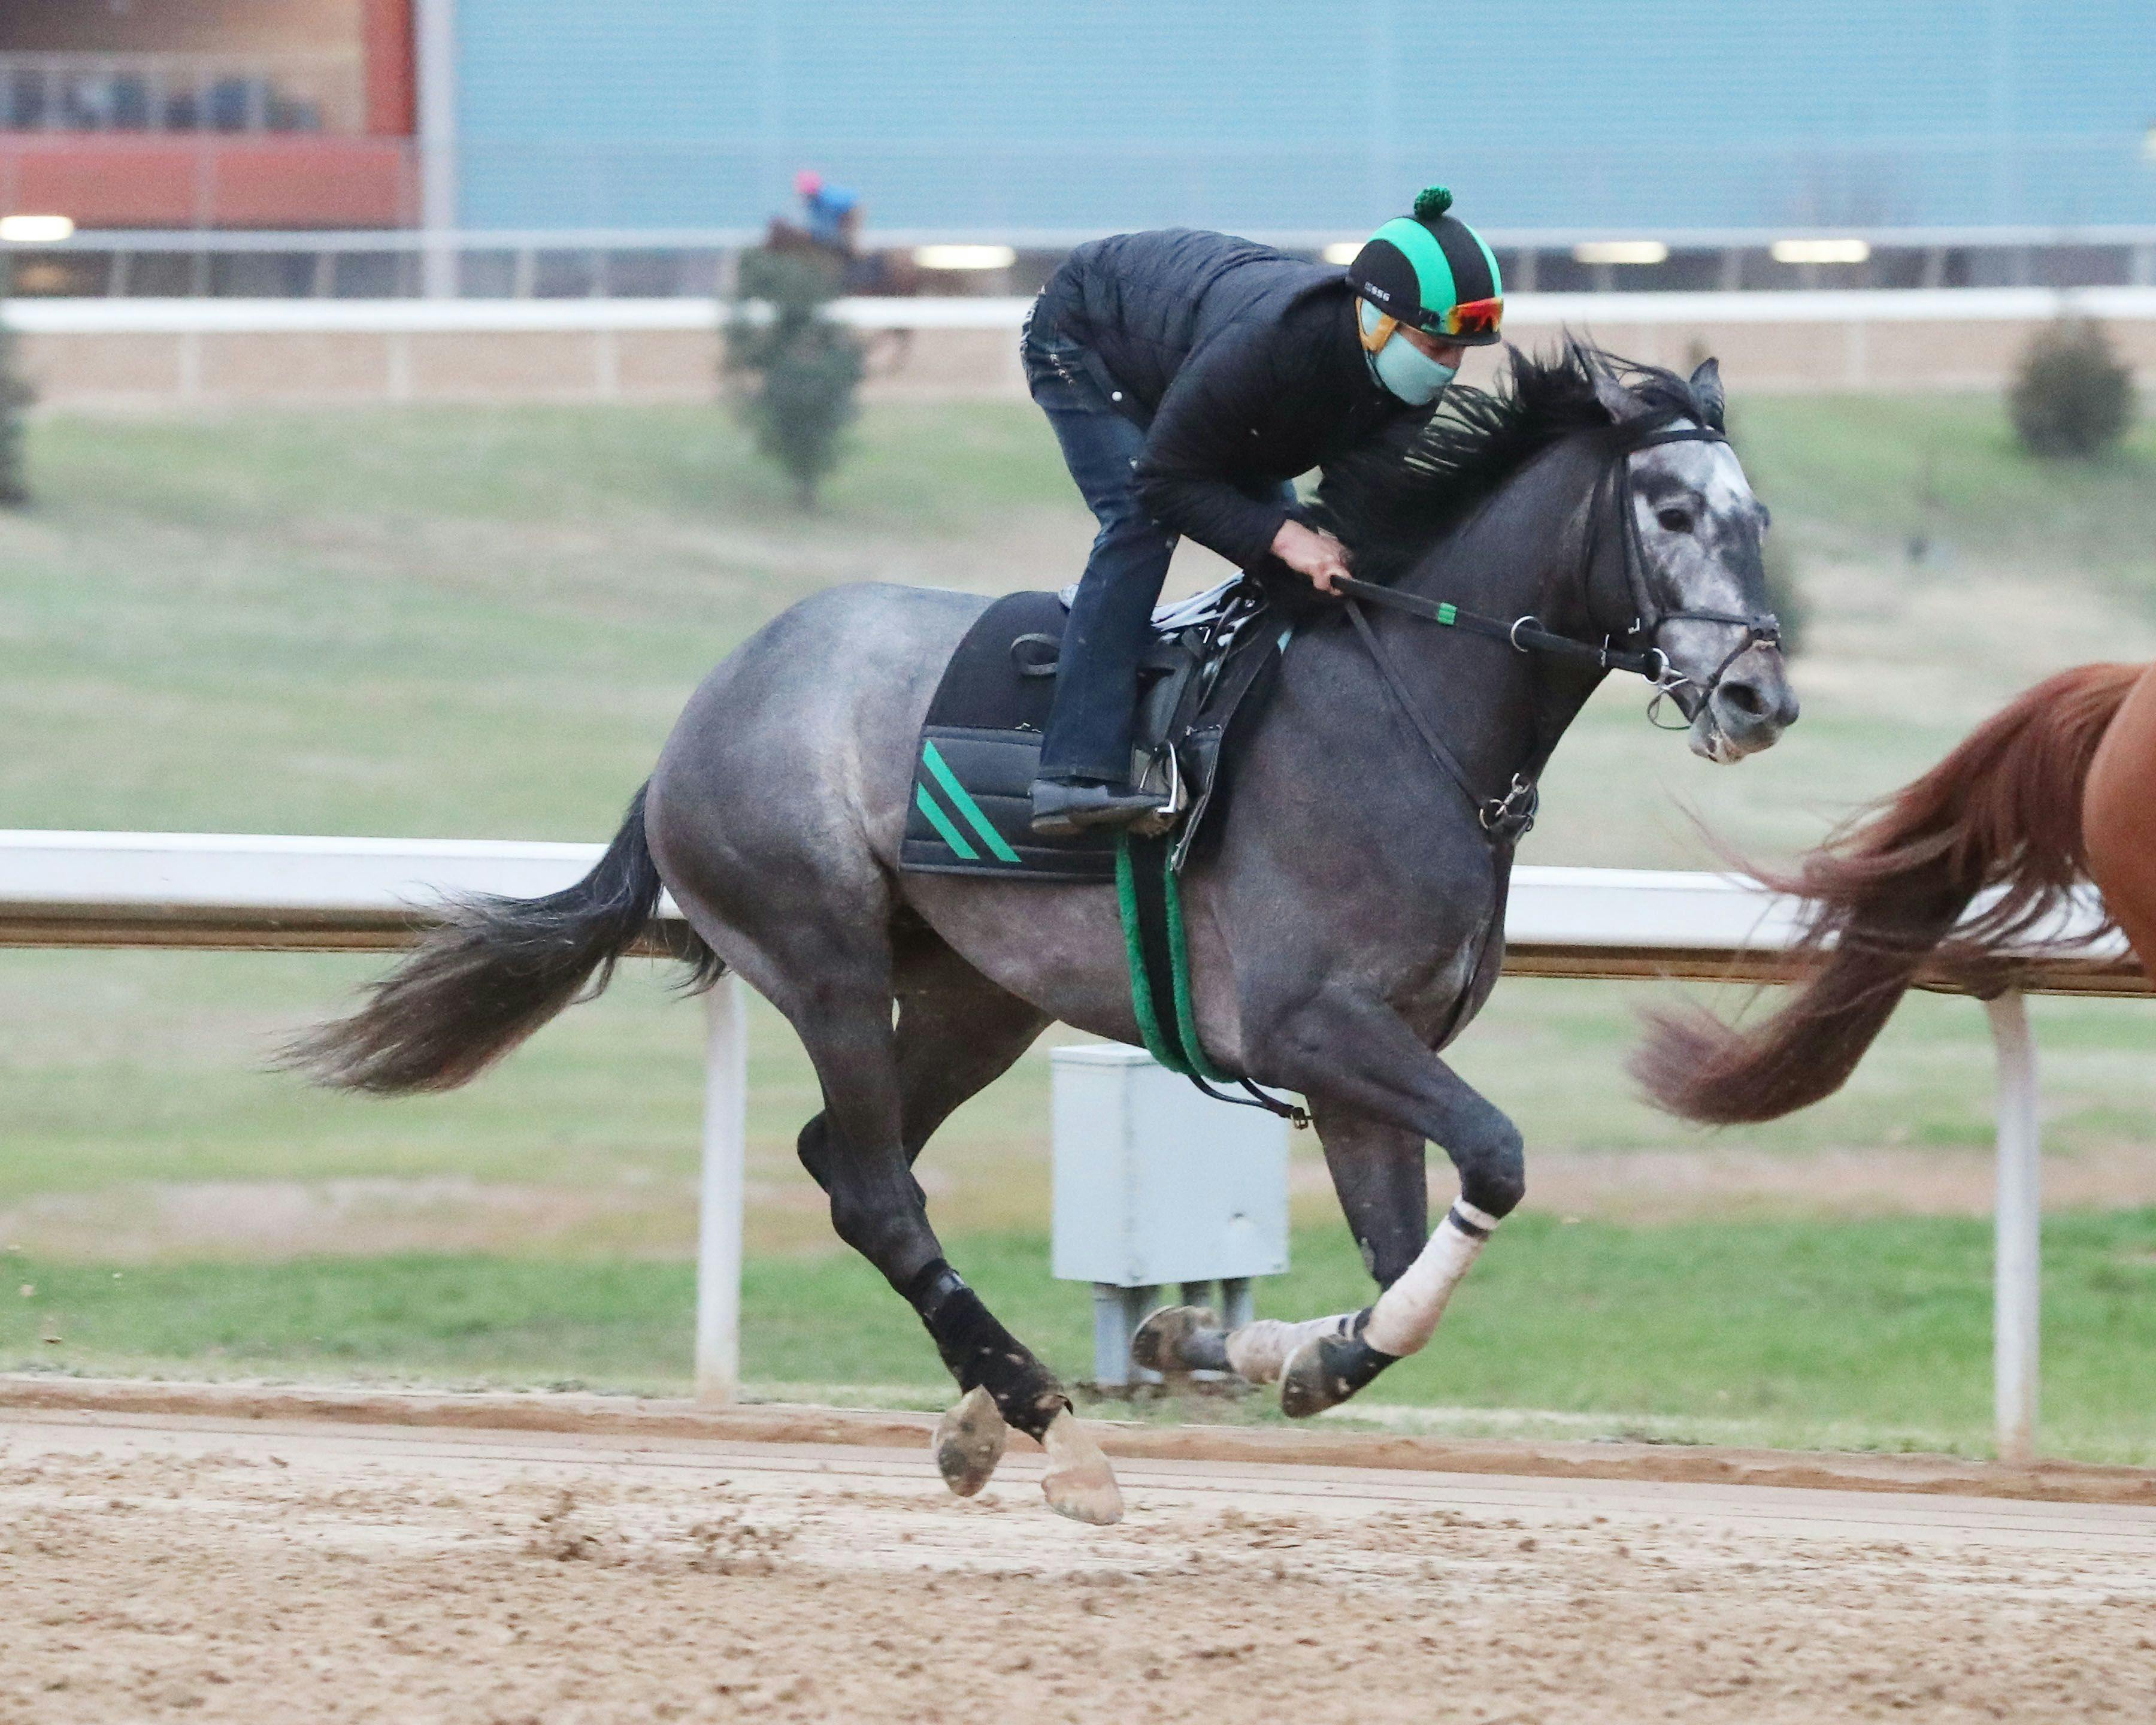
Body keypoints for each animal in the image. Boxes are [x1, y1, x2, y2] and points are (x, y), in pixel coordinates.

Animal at [295, 340, 1794, 1526]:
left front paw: (1242, 1348)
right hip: (824, 955)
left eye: (1757, 513)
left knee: (842, 1159)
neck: (1407, 707)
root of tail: (702, 714)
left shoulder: (1369, 1062)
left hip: (978, 998)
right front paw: (1246, 1360)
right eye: (1671, 509)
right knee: (877, 1189)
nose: (1762, 697)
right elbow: (1500, 1154)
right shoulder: (1315, 1026)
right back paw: (1053, 1433)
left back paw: (989, 1405)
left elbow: (1391, 1267)